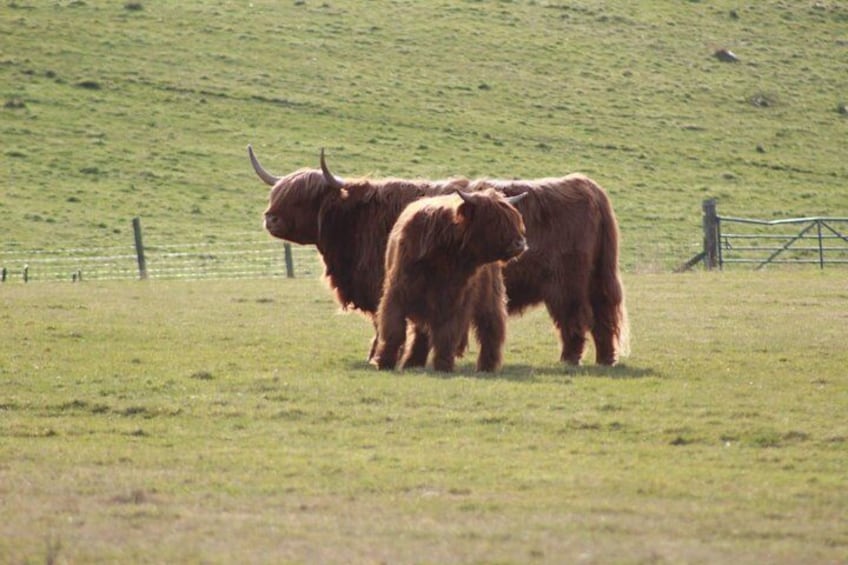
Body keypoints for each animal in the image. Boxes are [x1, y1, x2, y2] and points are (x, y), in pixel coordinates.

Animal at [374, 189, 528, 372]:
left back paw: (487, 367)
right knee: (421, 332)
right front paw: (384, 362)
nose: (520, 244)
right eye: (491, 219)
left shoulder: (455, 300)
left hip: (490, 297)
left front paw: (444, 366)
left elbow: (448, 334)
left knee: (491, 330)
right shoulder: (397, 294)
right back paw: (412, 363)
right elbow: (394, 330)